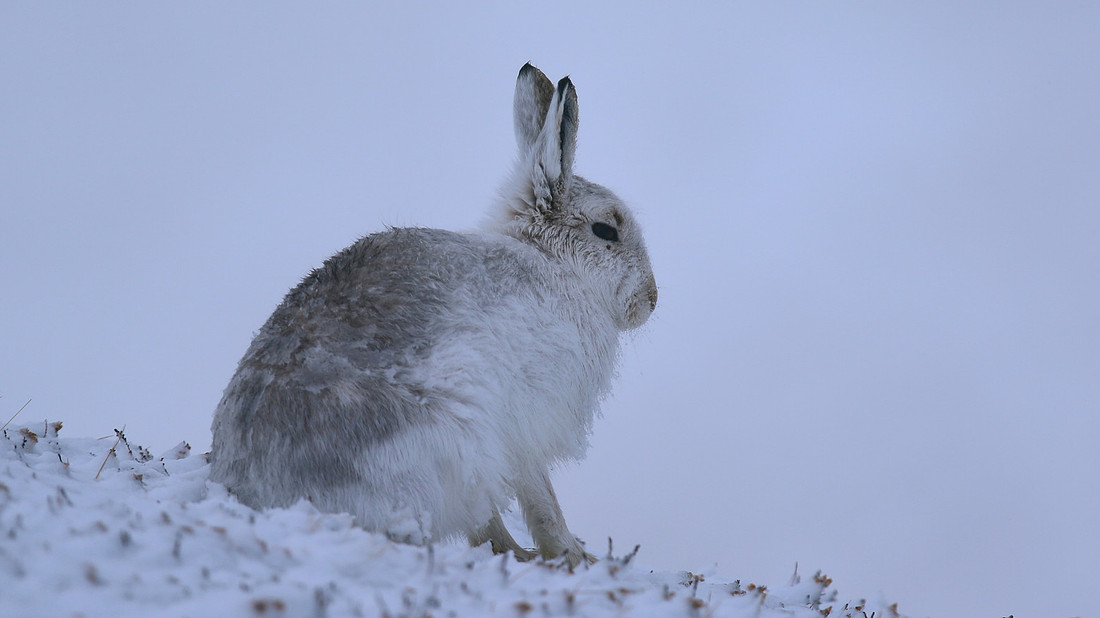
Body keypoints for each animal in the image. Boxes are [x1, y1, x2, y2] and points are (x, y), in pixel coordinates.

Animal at [208, 63, 657, 567]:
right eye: (606, 231)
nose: (651, 300)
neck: (550, 262)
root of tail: (264, 493)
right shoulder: (528, 423)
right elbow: (541, 499)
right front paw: (573, 556)